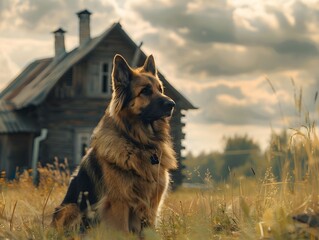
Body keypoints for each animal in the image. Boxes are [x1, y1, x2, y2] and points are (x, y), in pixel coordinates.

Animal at [52, 54, 178, 234]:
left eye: (160, 89)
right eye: (145, 91)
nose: (172, 104)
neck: (139, 143)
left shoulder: (152, 205)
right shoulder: (118, 204)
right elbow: (122, 231)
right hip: (71, 208)